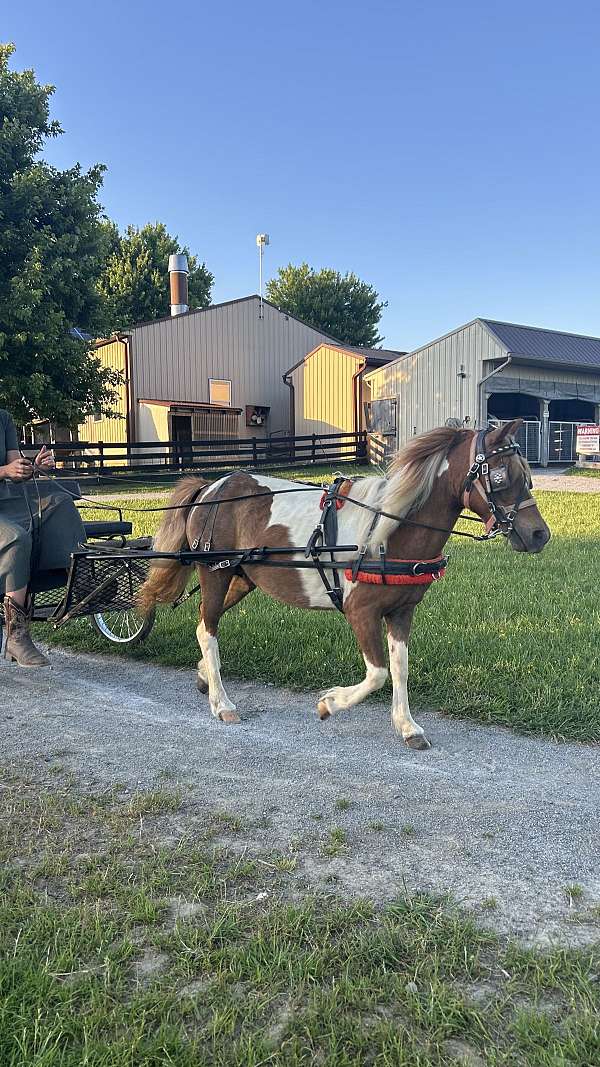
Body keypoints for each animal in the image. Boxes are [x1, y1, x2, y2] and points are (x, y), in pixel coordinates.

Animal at [138, 420, 550, 748]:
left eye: (525, 475)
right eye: (501, 476)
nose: (539, 534)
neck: (387, 531)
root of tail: (211, 487)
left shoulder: (401, 611)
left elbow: (399, 668)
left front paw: (407, 726)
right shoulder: (360, 612)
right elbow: (378, 673)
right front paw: (329, 703)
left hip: (241, 578)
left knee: (202, 624)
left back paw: (206, 678)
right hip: (215, 573)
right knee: (209, 630)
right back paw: (222, 703)